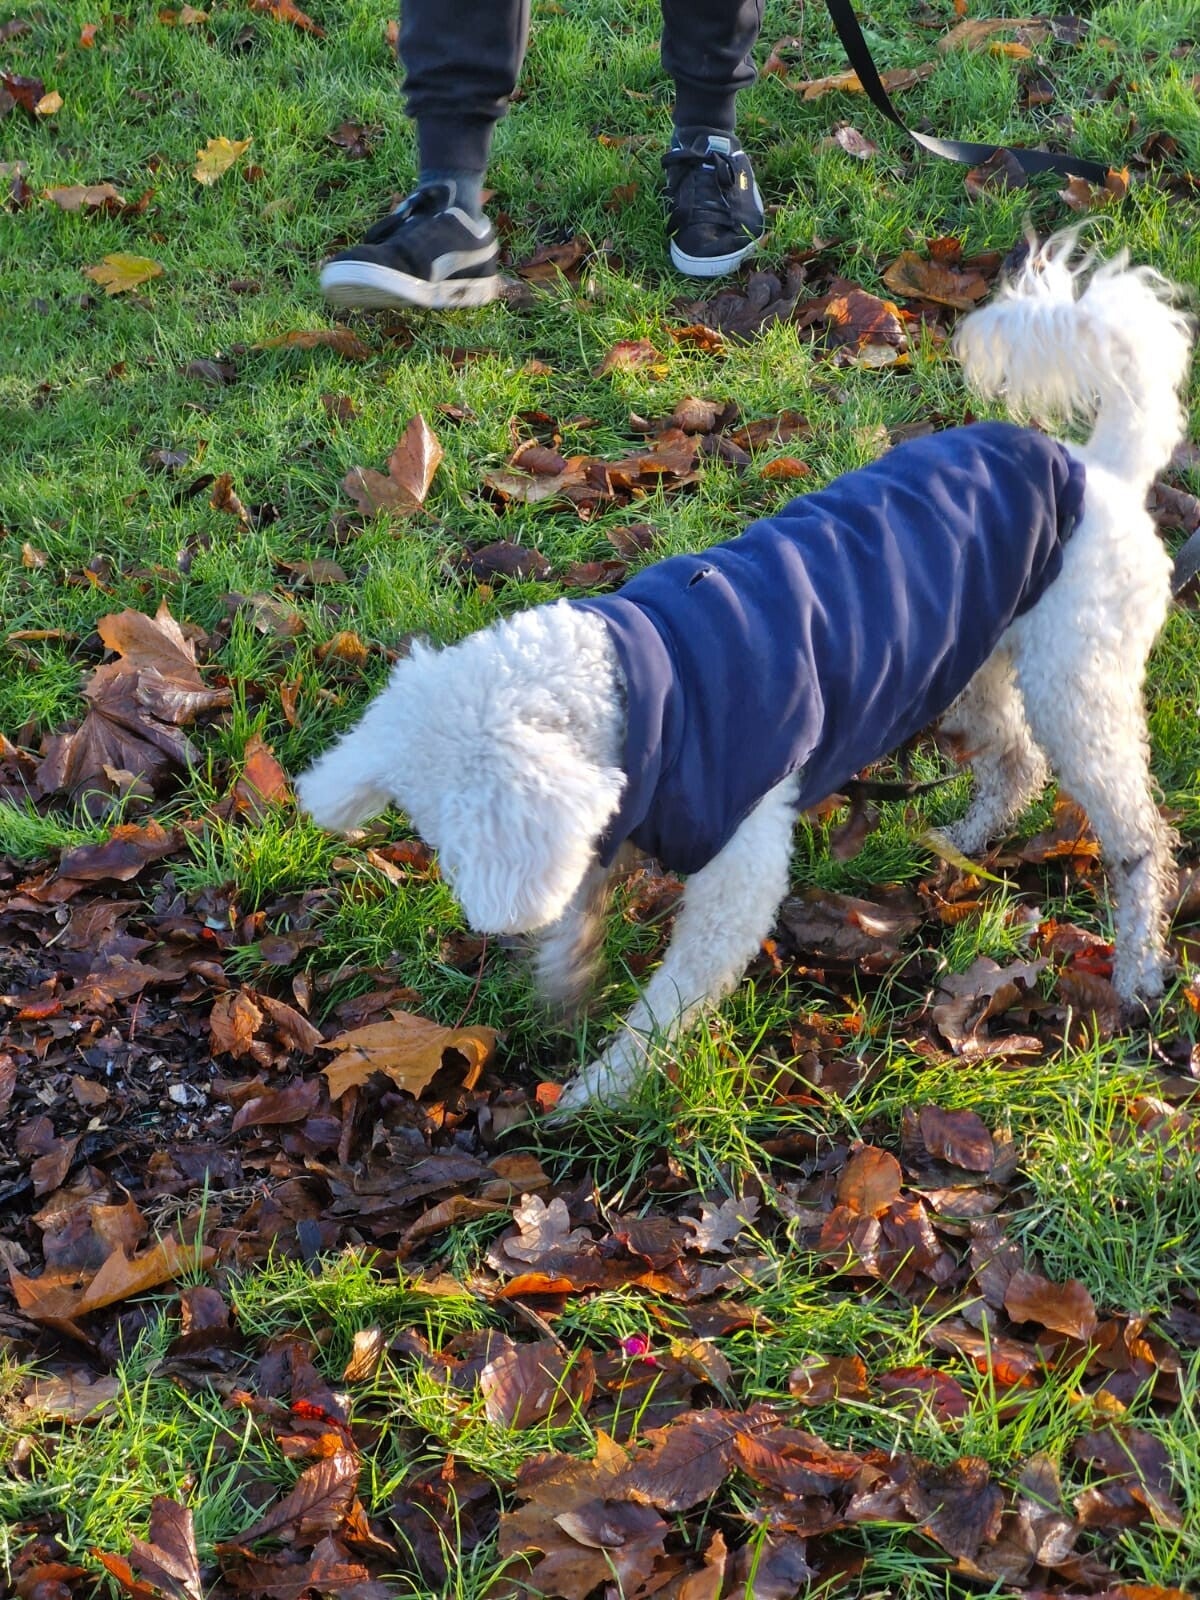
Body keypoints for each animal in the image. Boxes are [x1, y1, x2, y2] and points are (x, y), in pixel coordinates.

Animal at [297, 235, 1193, 1111]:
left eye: (455, 842)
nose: (489, 923)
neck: (636, 687)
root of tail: (1100, 473)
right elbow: (582, 912)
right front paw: (564, 985)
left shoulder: (738, 865)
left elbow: (669, 1003)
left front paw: (598, 1092)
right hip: (969, 662)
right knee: (1015, 761)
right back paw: (962, 839)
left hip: (1077, 681)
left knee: (1136, 836)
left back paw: (1137, 967)